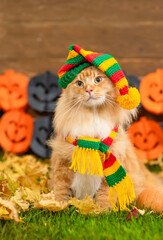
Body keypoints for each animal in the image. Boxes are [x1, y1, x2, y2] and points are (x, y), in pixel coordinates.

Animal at [47, 66, 162, 209]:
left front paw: (102, 210)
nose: (89, 89)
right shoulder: (61, 165)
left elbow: (105, 195)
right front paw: (57, 206)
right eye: (79, 83)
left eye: (98, 80)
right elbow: (60, 190)